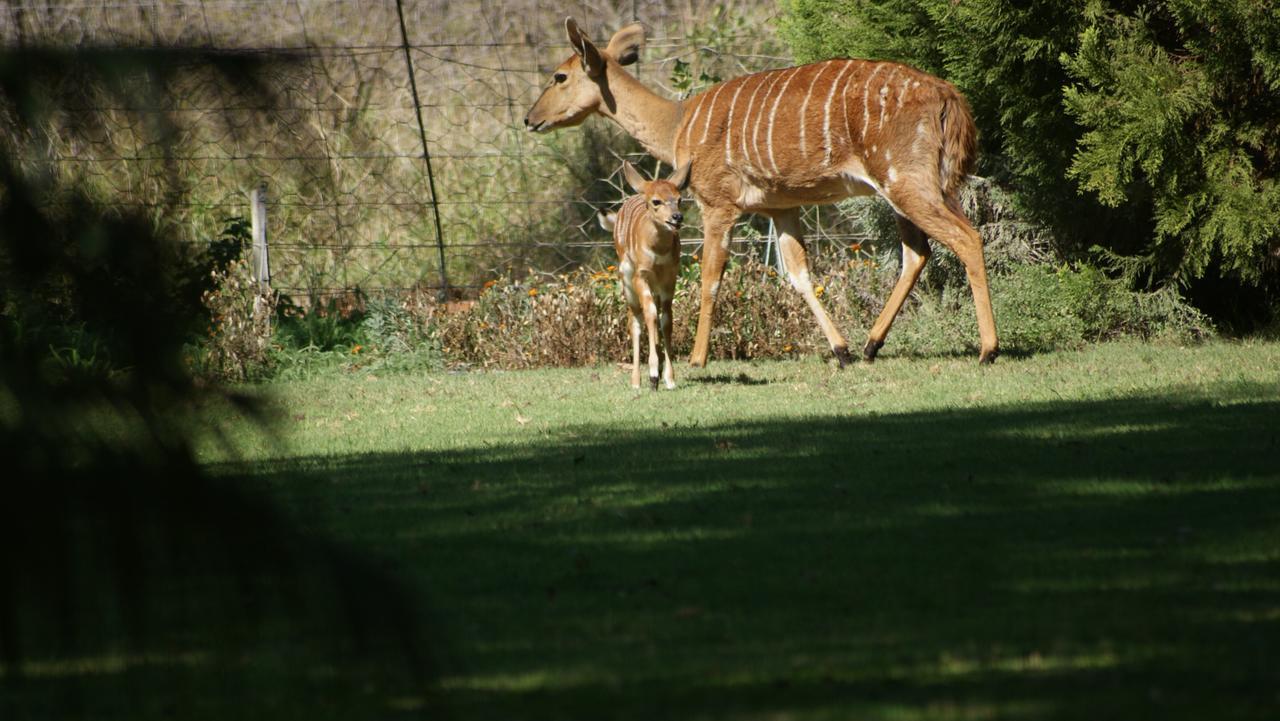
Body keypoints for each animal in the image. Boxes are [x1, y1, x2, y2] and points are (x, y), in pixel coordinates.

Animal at [527, 18, 998, 366]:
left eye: (559, 76)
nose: (530, 119)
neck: (677, 124)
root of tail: (948, 96)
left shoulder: (717, 203)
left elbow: (710, 278)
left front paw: (697, 359)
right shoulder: (780, 207)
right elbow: (800, 275)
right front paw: (840, 351)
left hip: (907, 181)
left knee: (967, 237)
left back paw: (988, 351)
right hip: (919, 185)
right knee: (918, 251)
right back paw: (869, 345)